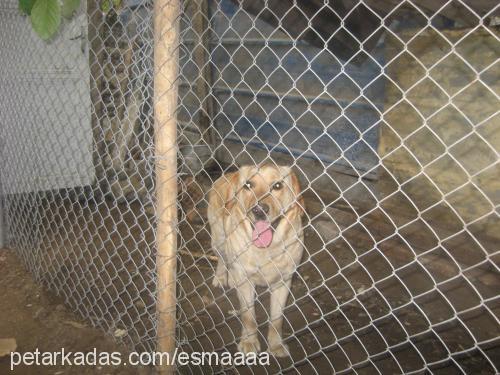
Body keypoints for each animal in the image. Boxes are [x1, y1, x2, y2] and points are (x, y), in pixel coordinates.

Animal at [207, 165, 304, 358]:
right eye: (248, 185)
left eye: (277, 185)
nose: (259, 210)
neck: (266, 249)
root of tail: (228, 174)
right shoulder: (245, 282)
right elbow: (248, 317)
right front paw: (249, 342)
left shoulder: (283, 283)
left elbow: (277, 320)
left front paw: (276, 345)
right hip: (218, 238)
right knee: (222, 259)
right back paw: (221, 278)